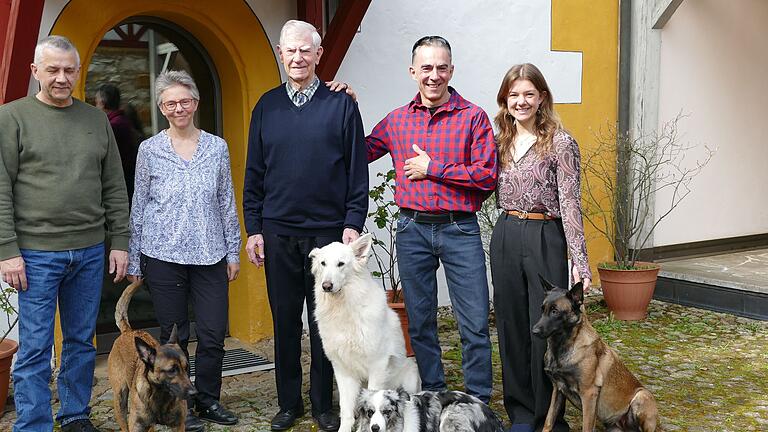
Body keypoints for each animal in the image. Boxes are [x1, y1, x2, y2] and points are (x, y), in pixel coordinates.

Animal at [109, 282, 198, 430]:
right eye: (172, 370)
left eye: (187, 368)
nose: (194, 393)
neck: (160, 396)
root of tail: (128, 331)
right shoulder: (137, 426)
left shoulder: (178, 425)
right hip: (120, 399)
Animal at [308, 235, 424, 430]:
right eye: (323, 263)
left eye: (341, 264)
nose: (326, 286)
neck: (344, 309)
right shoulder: (342, 370)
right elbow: (346, 410)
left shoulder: (377, 365)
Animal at [528, 276, 660, 432]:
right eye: (542, 309)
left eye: (555, 311)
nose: (534, 331)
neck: (562, 348)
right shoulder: (557, 389)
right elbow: (548, 421)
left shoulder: (589, 394)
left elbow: (586, 427)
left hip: (642, 396)